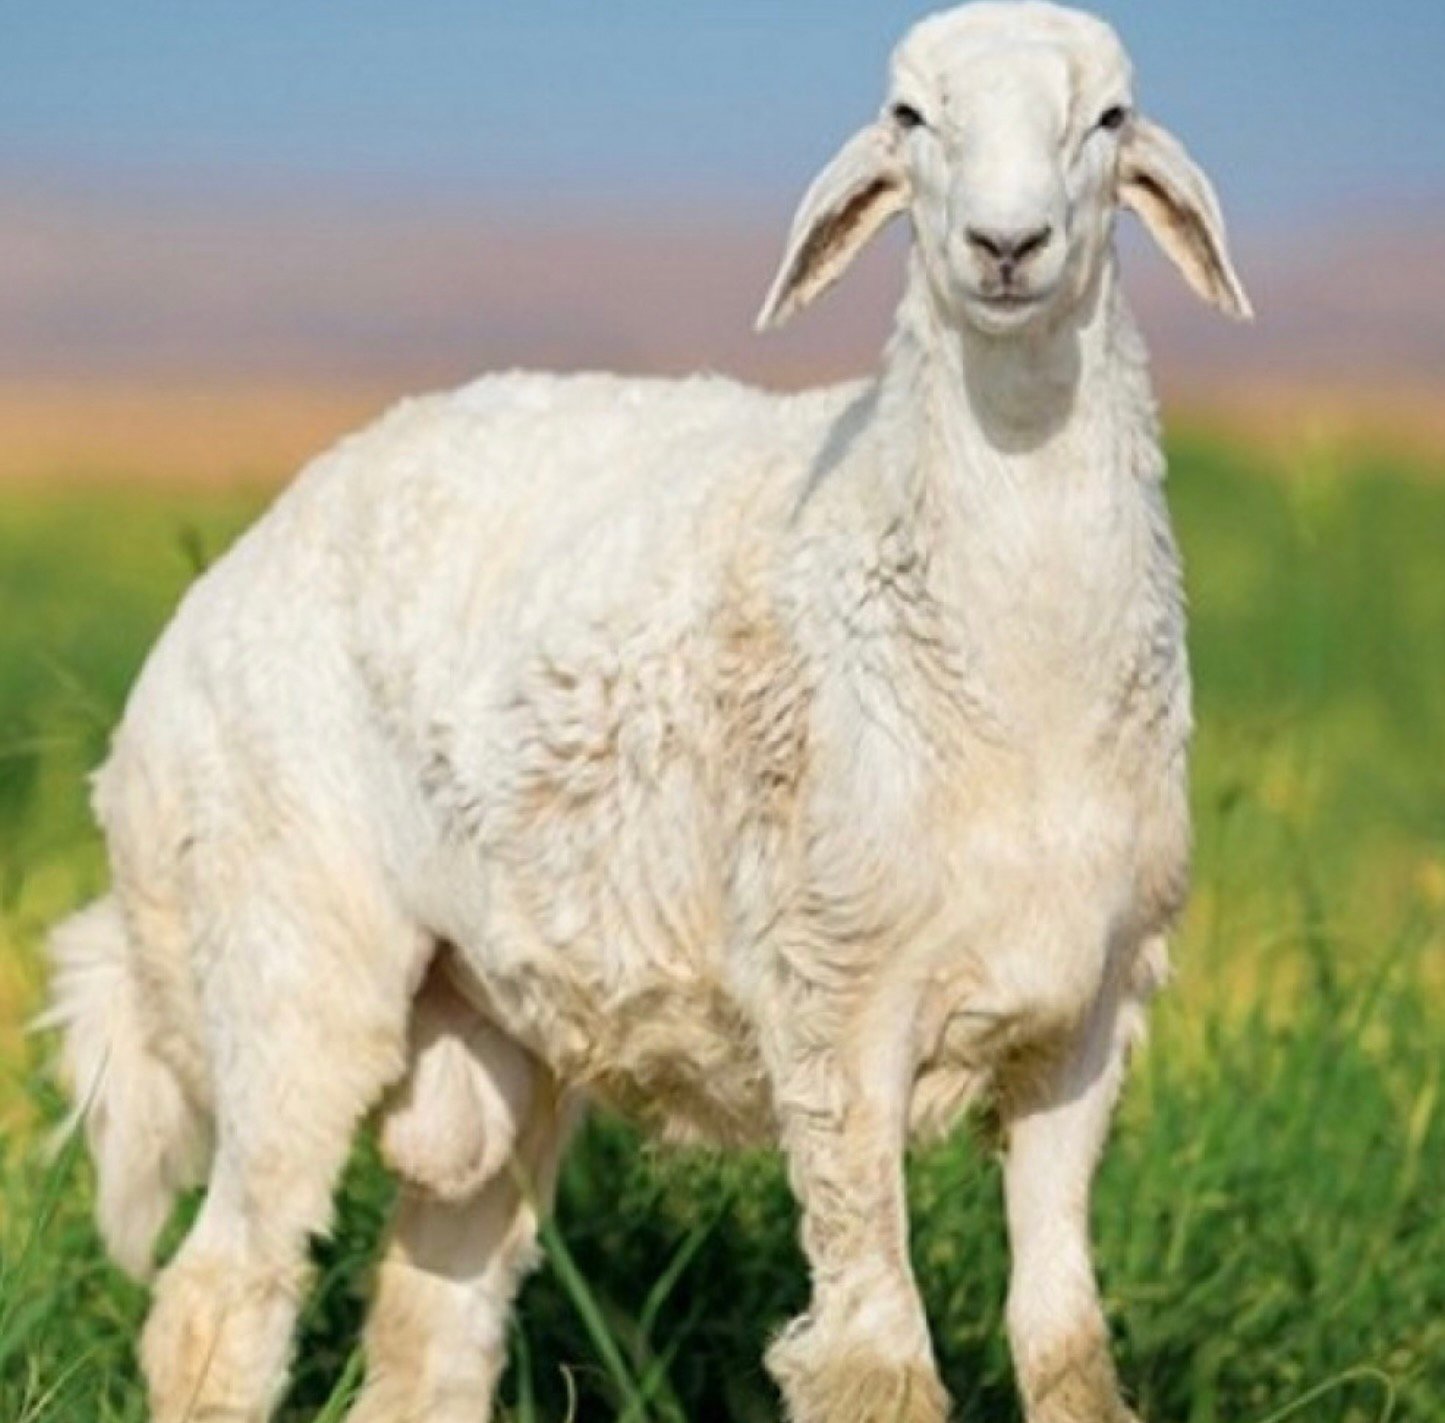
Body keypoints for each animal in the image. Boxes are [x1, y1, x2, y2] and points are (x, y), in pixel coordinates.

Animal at [44, 4, 1251, 1421]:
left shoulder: (1087, 1013)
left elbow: (1066, 1350)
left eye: (1110, 116)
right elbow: (877, 1361)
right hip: (284, 948)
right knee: (219, 1297)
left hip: (489, 1028)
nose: (1005, 248)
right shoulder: (833, 994)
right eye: (906, 116)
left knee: (430, 1324)